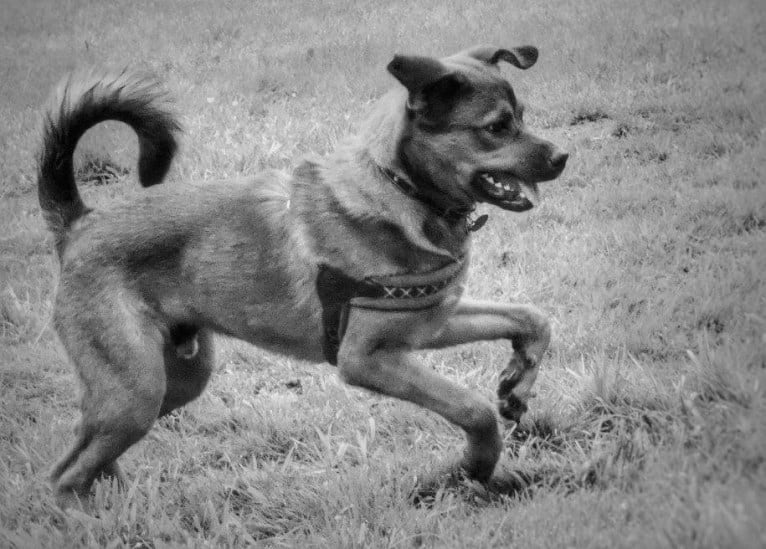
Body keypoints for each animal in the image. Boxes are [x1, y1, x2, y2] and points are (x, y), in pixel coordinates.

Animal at [39, 44, 568, 506]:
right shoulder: (367, 359)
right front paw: (478, 465)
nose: (562, 157)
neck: (400, 189)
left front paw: (518, 382)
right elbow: (472, 408)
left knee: (84, 452)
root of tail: (80, 223)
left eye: (522, 117)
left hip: (172, 381)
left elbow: (533, 318)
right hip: (136, 391)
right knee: (65, 474)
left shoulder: (432, 322)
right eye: (496, 127)